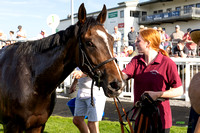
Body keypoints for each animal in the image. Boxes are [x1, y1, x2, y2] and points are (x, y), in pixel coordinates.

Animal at [0, 3, 125, 132]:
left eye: (111, 40)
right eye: (89, 42)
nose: (116, 84)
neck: (32, 80)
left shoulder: (37, 125)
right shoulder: (11, 126)